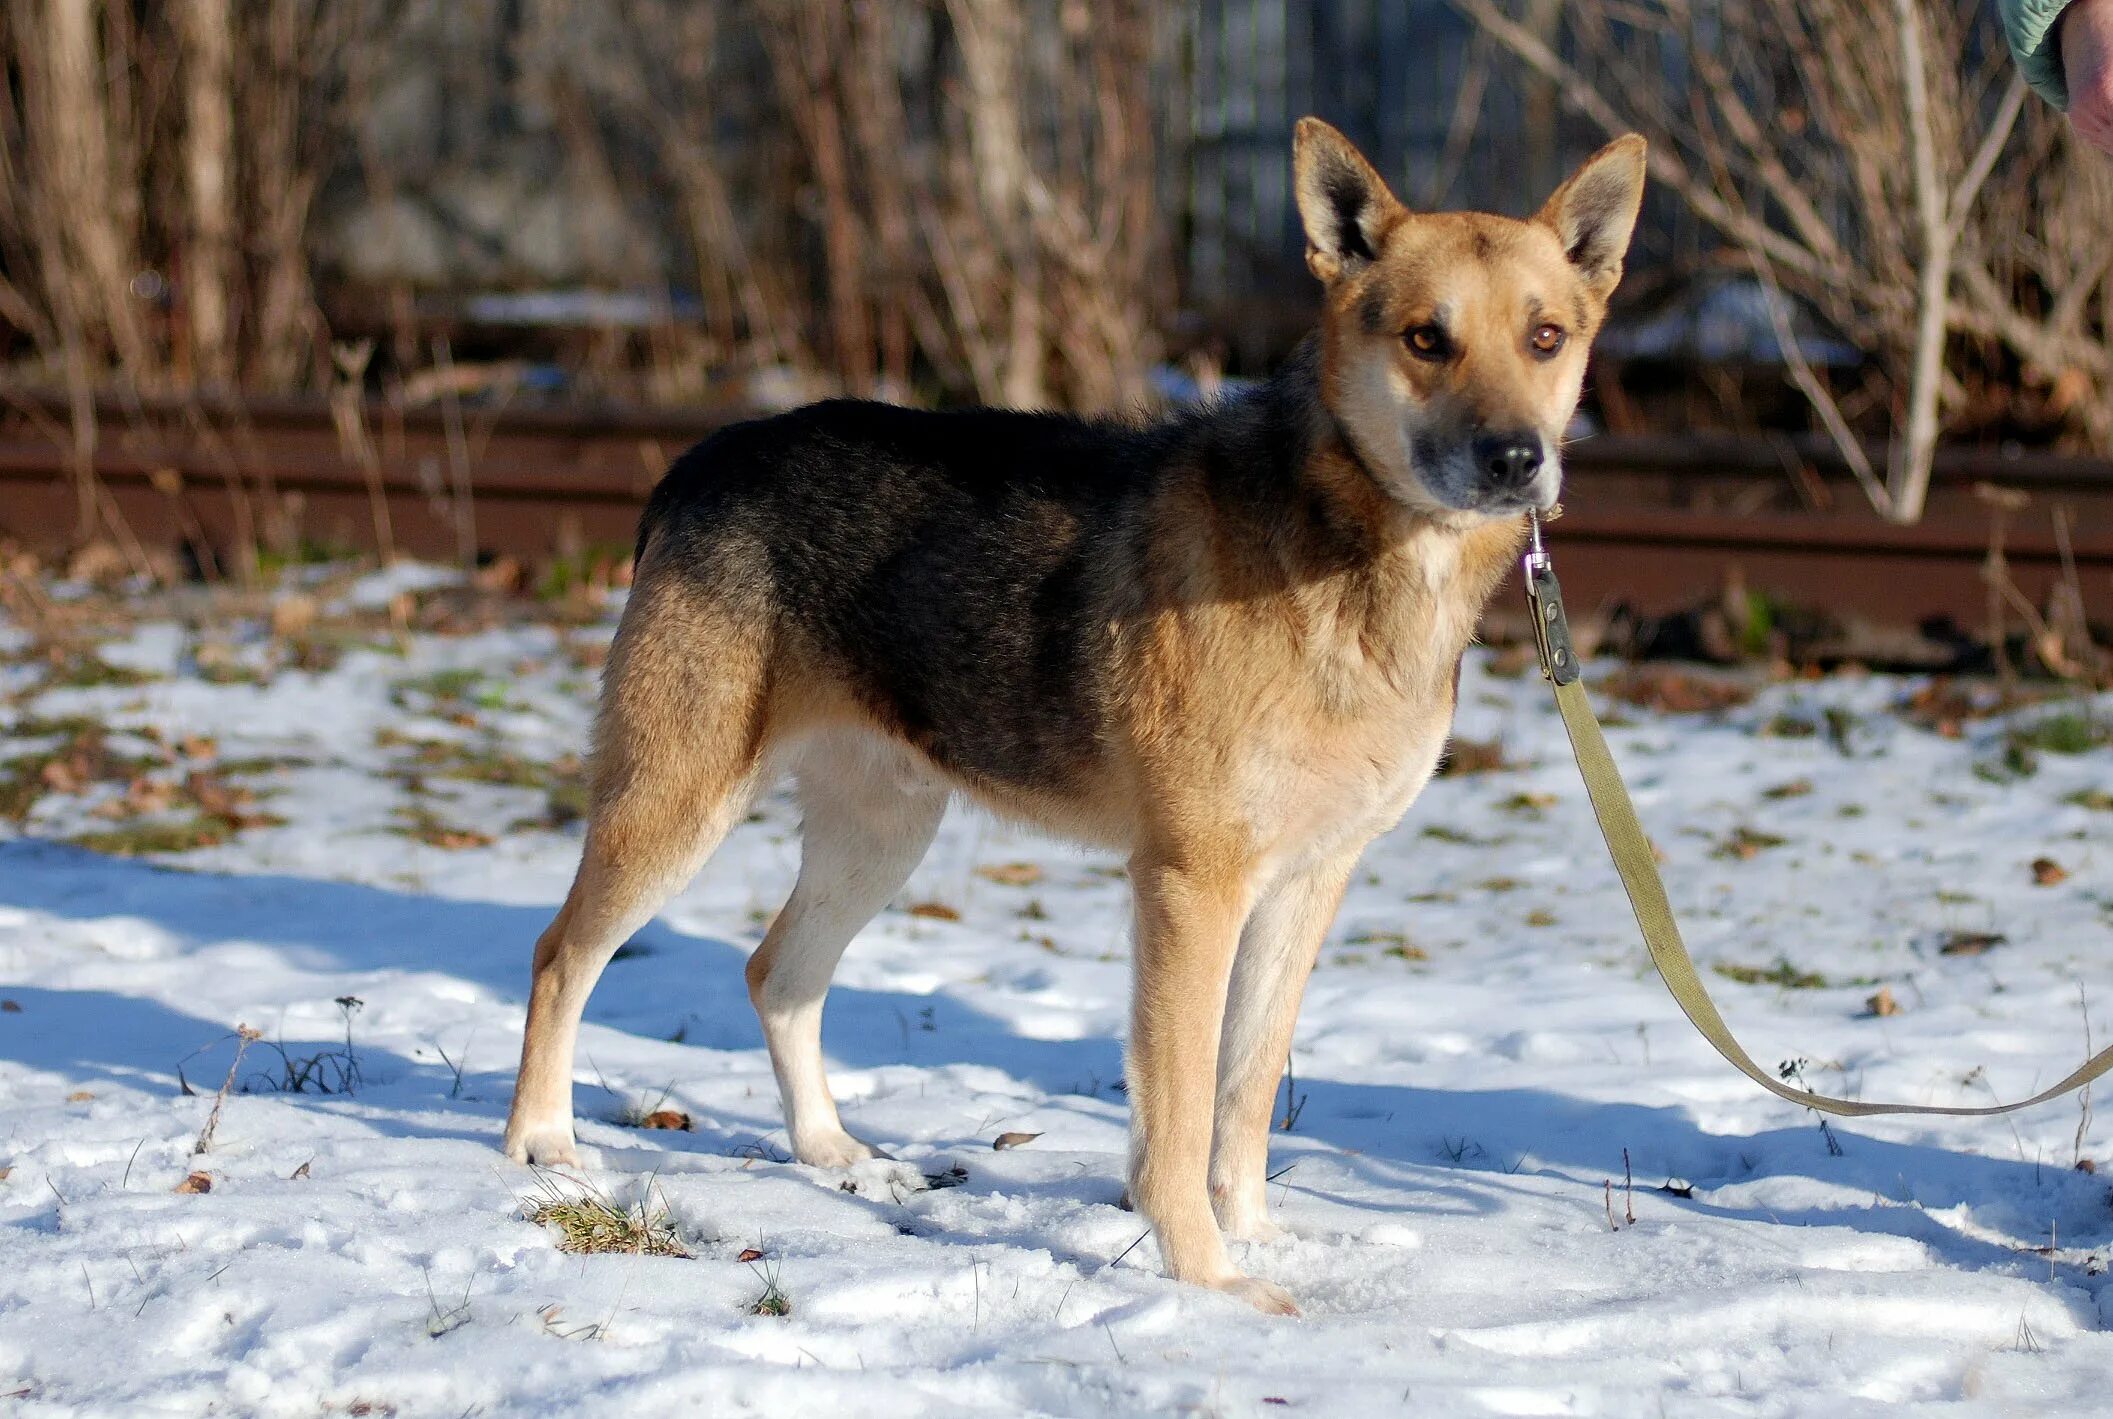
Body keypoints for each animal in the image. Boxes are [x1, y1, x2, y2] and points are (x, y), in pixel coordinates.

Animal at [507, 116, 1648, 1317]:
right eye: (1428, 339)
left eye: (1546, 337)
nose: (1517, 460)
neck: (1351, 554)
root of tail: (701, 456)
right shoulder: (1190, 887)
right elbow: (1179, 1109)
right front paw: (1207, 1278)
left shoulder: (1306, 885)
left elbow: (1246, 1089)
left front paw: (1257, 1239)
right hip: (677, 803)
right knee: (560, 953)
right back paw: (543, 1143)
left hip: (882, 832)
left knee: (778, 973)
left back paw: (832, 1155)